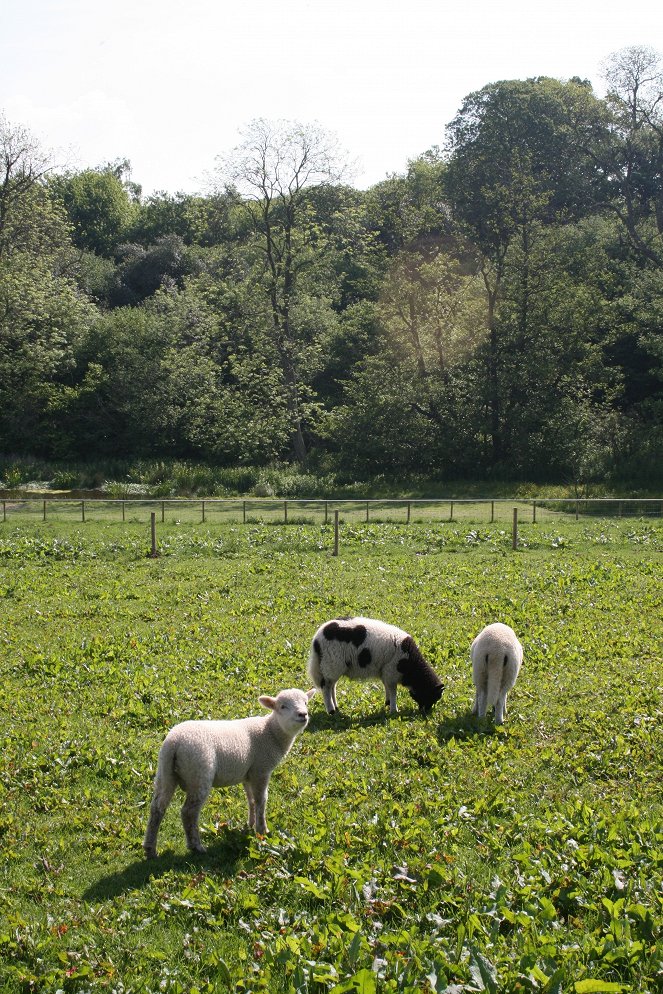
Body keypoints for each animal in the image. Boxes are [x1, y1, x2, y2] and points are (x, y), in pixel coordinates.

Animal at [144, 684, 316, 856]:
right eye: (282, 706)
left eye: (306, 703)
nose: (303, 714)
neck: (271, 733)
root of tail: (175, 742)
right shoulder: (261, 770)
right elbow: (261, 801)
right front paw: (262, 831)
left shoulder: (249, 773)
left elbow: (251, 800)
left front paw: (250, 825)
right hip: (199, 773)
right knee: (188, 812)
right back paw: (196, 846)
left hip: (165, 772)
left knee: (157, 807)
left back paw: (150, 849)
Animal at [308, 612, 446, 712]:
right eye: (433, 696)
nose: (425, 712)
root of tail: (317, 639)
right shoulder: (391, 671)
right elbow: (393, 690)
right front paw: (394, 710)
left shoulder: (385, 671)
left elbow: (386, 687)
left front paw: (388, 703)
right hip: (332, 663)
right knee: (326, 687)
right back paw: (331, 710)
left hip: (330, 666)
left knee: (332, 685)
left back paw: (336, 707)